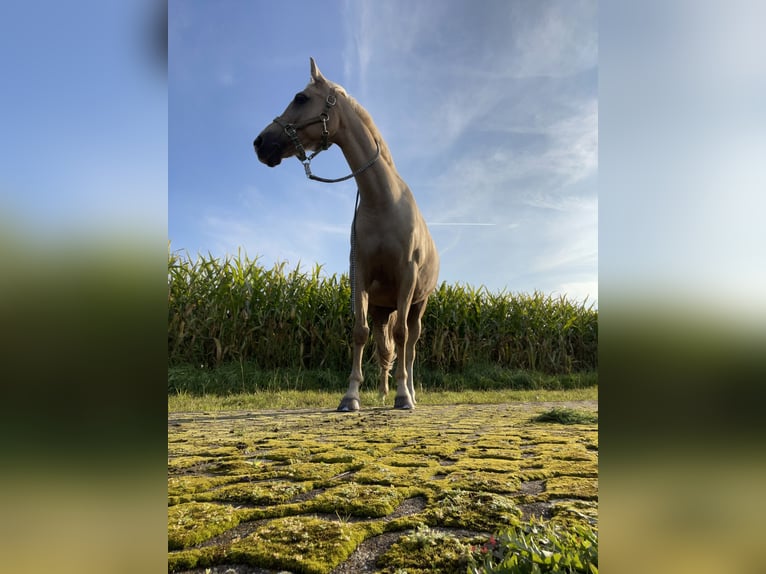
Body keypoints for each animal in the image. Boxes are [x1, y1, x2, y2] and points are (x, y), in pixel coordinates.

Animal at [255, 56, 440, 412]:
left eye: (300, 97)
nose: (260, 143)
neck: (382, 201)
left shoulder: (407, 277)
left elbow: (401, 339)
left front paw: (402, 396)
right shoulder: (361, 275)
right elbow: (359, 333)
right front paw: (351, 395)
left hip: (417, 305)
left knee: (409, 344)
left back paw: (409, 391)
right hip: (384, 308)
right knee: (384, 345)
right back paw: (382, 391)